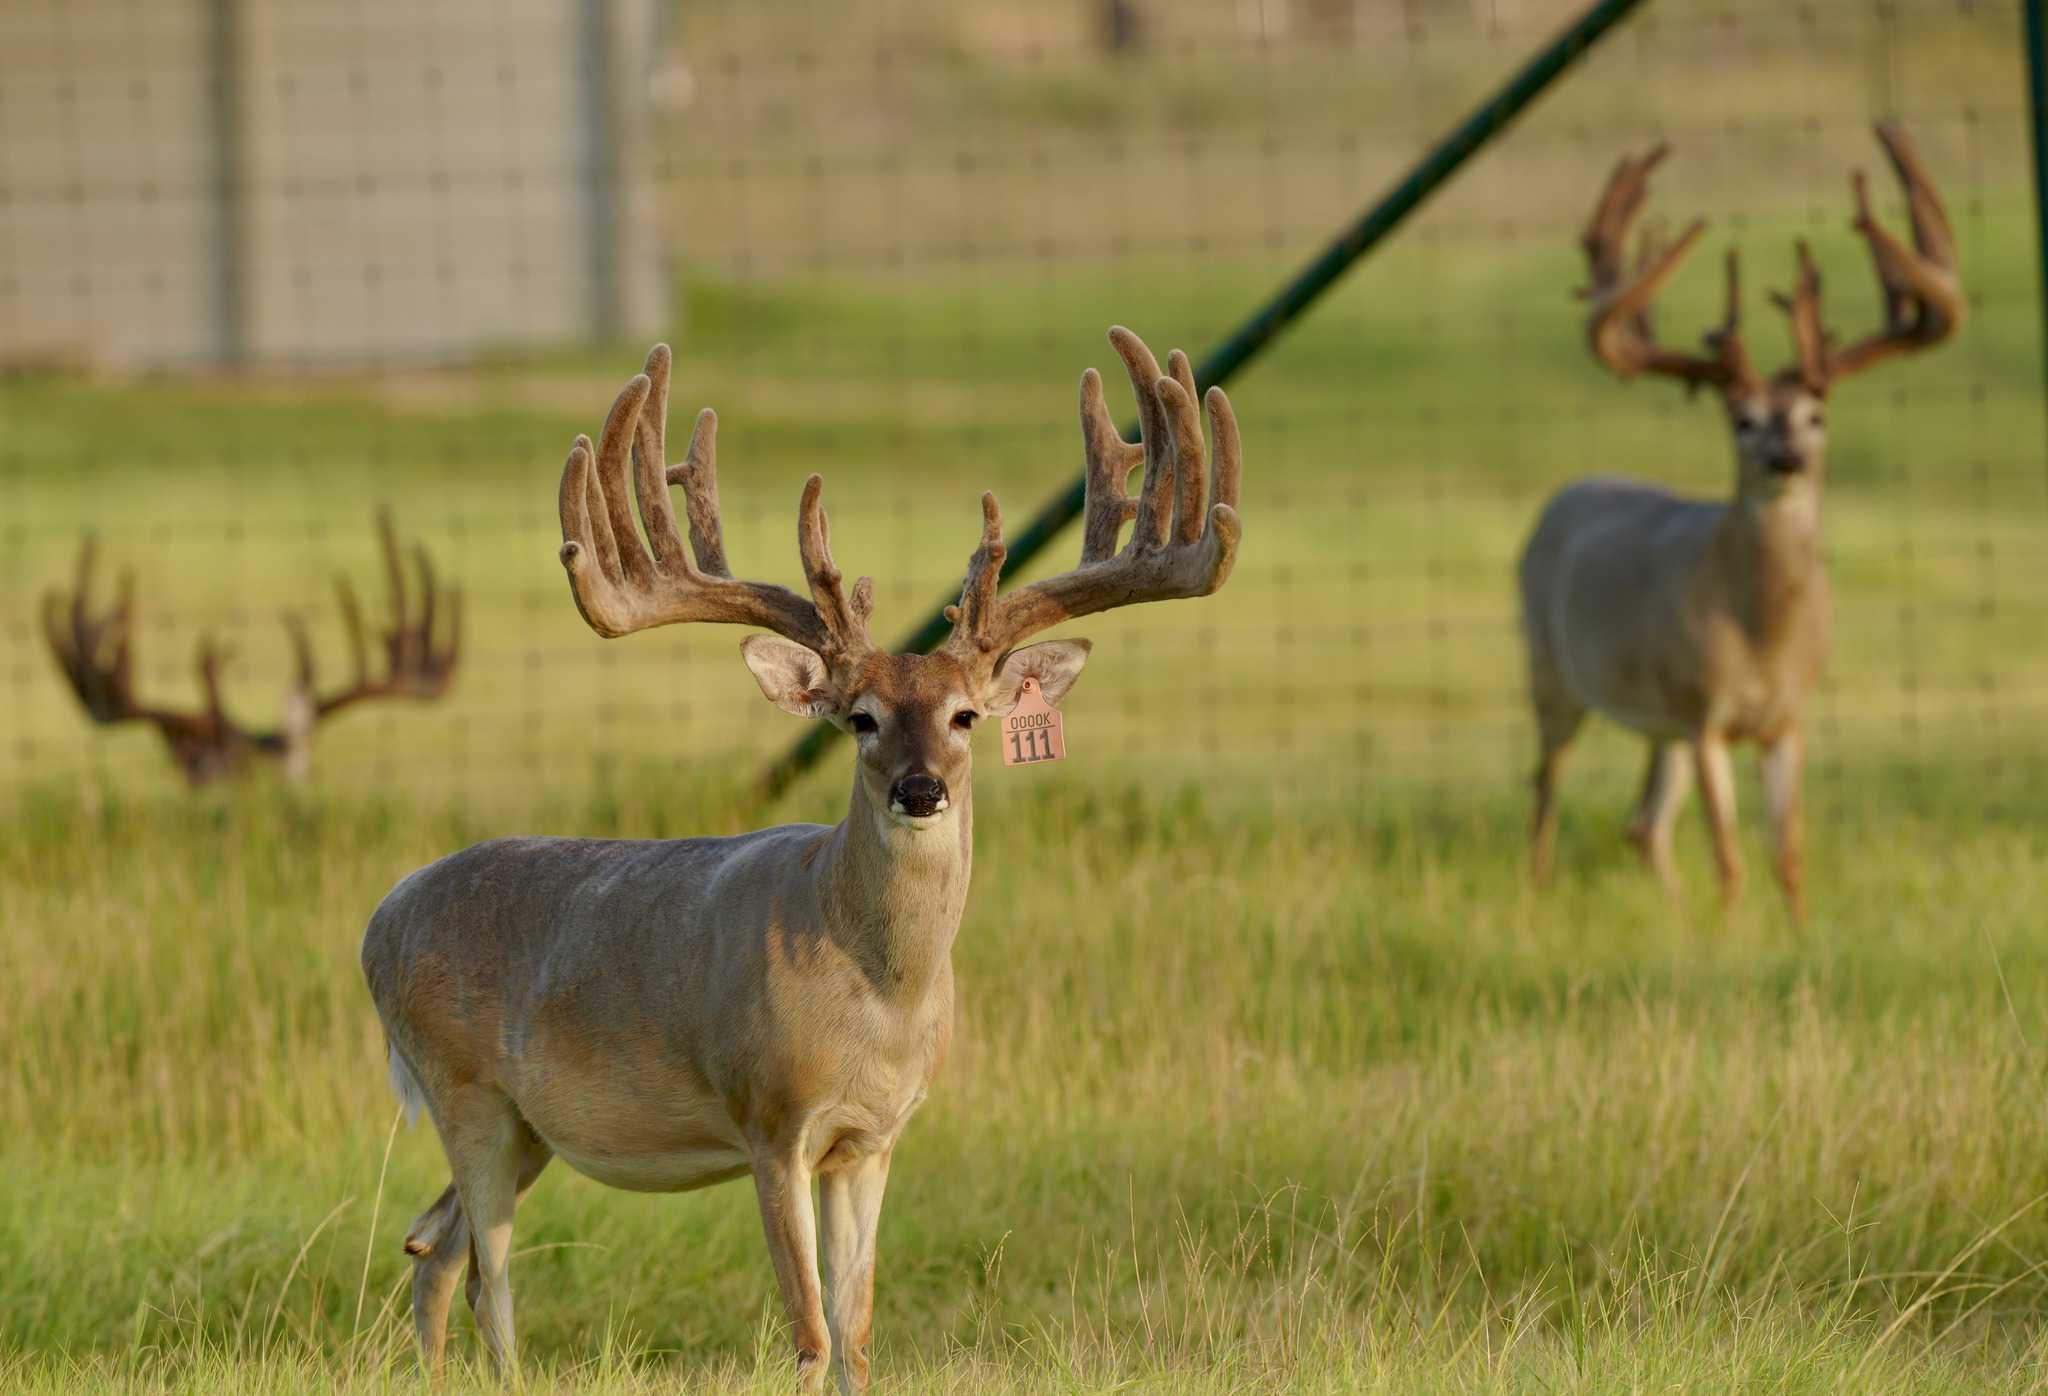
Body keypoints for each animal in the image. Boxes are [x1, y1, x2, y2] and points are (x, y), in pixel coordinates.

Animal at [358, 327, 1243, 1391]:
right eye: (860, 717)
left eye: (967, 715)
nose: (921, 790)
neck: (877, 993)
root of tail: (380, 919)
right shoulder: (771, 1116)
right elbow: (810, 1330)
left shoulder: (871, 1139)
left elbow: (857, 1328)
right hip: (465, 1089)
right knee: (488, 1271)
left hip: (528, 1126)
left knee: (430, 1245)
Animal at [1519, 123, 1961, 918]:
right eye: (1742, 419)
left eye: (1816, 415)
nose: (1786, 458)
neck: (1763, 639)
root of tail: (1570, 490)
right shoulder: (1706, 714)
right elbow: (1730, 855)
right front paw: (1732, 931)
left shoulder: (1787, 719)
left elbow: (1788, 852)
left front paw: (1796, 930)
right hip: (1552, 671)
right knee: (1546, 789)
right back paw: (1537, 891)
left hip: (1658, 721)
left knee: (1643, 824)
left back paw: (1672, 913)